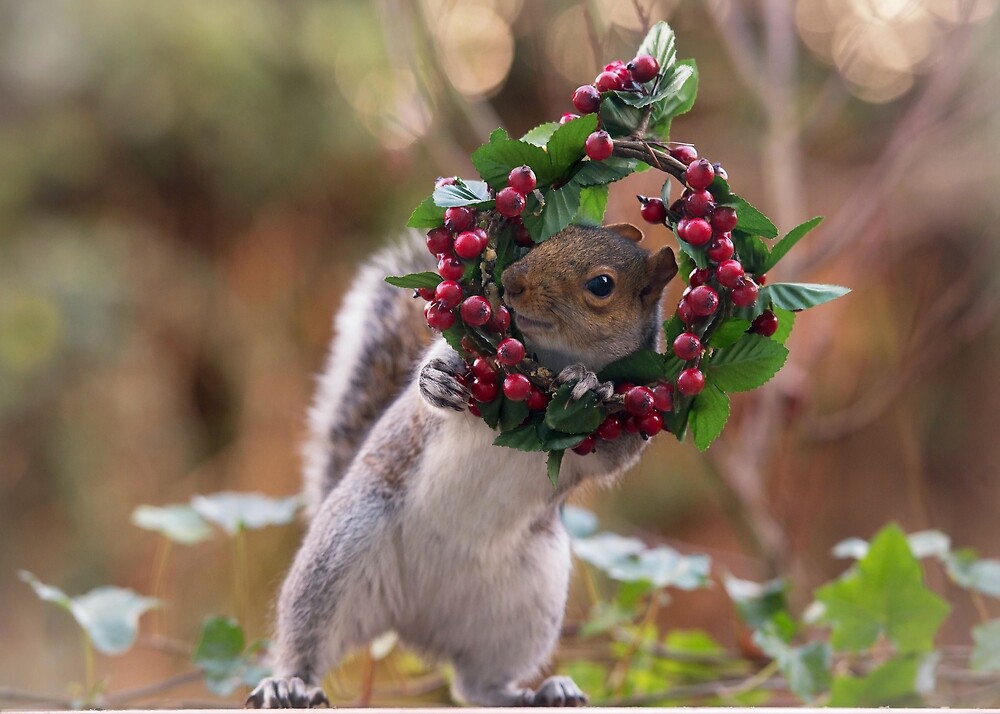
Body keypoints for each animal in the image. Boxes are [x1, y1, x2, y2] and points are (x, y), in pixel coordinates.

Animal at [246, 222, 678, 709]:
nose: (512, 282)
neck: (548, 367)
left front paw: (592, 387)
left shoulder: (634, 409)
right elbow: (438, 376)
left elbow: (616, 451)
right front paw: (435, 378)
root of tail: (414, 621)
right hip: (338, 553)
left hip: (528, 606)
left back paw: (539, 693)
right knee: (305, 644)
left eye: (601, 285)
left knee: (476, 686)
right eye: (545, 239)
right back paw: (289, 683)